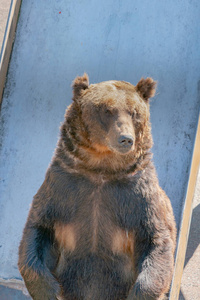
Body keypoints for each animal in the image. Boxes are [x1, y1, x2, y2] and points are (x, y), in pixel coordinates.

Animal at [18, 73, 176, 300]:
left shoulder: (136, 197)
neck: (101, 168)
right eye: (107, 110)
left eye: (134, 112)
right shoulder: (63, 189)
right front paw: (48, 290)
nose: (126, 139)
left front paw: (139, 293)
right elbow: (39, 230)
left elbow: (156, 239)